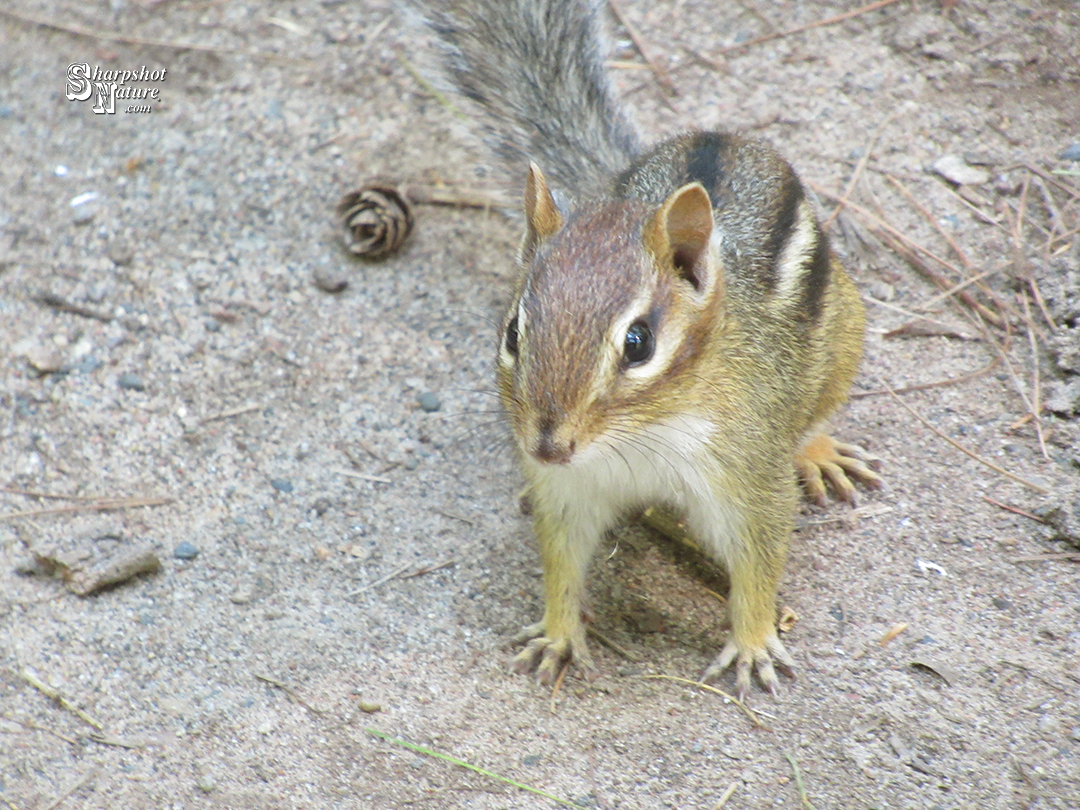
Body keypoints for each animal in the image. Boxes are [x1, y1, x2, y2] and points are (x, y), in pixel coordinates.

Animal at [413, 0, 882, 698]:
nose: (546, 447)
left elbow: (760, 560)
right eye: (513, 333)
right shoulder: (571, 489)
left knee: (814, 415)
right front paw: (558, 632)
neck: (638, 438)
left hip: (842, 342)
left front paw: (753, 642)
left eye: (639, 344)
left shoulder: (747, 474)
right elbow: (562, 557)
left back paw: (820, 452)